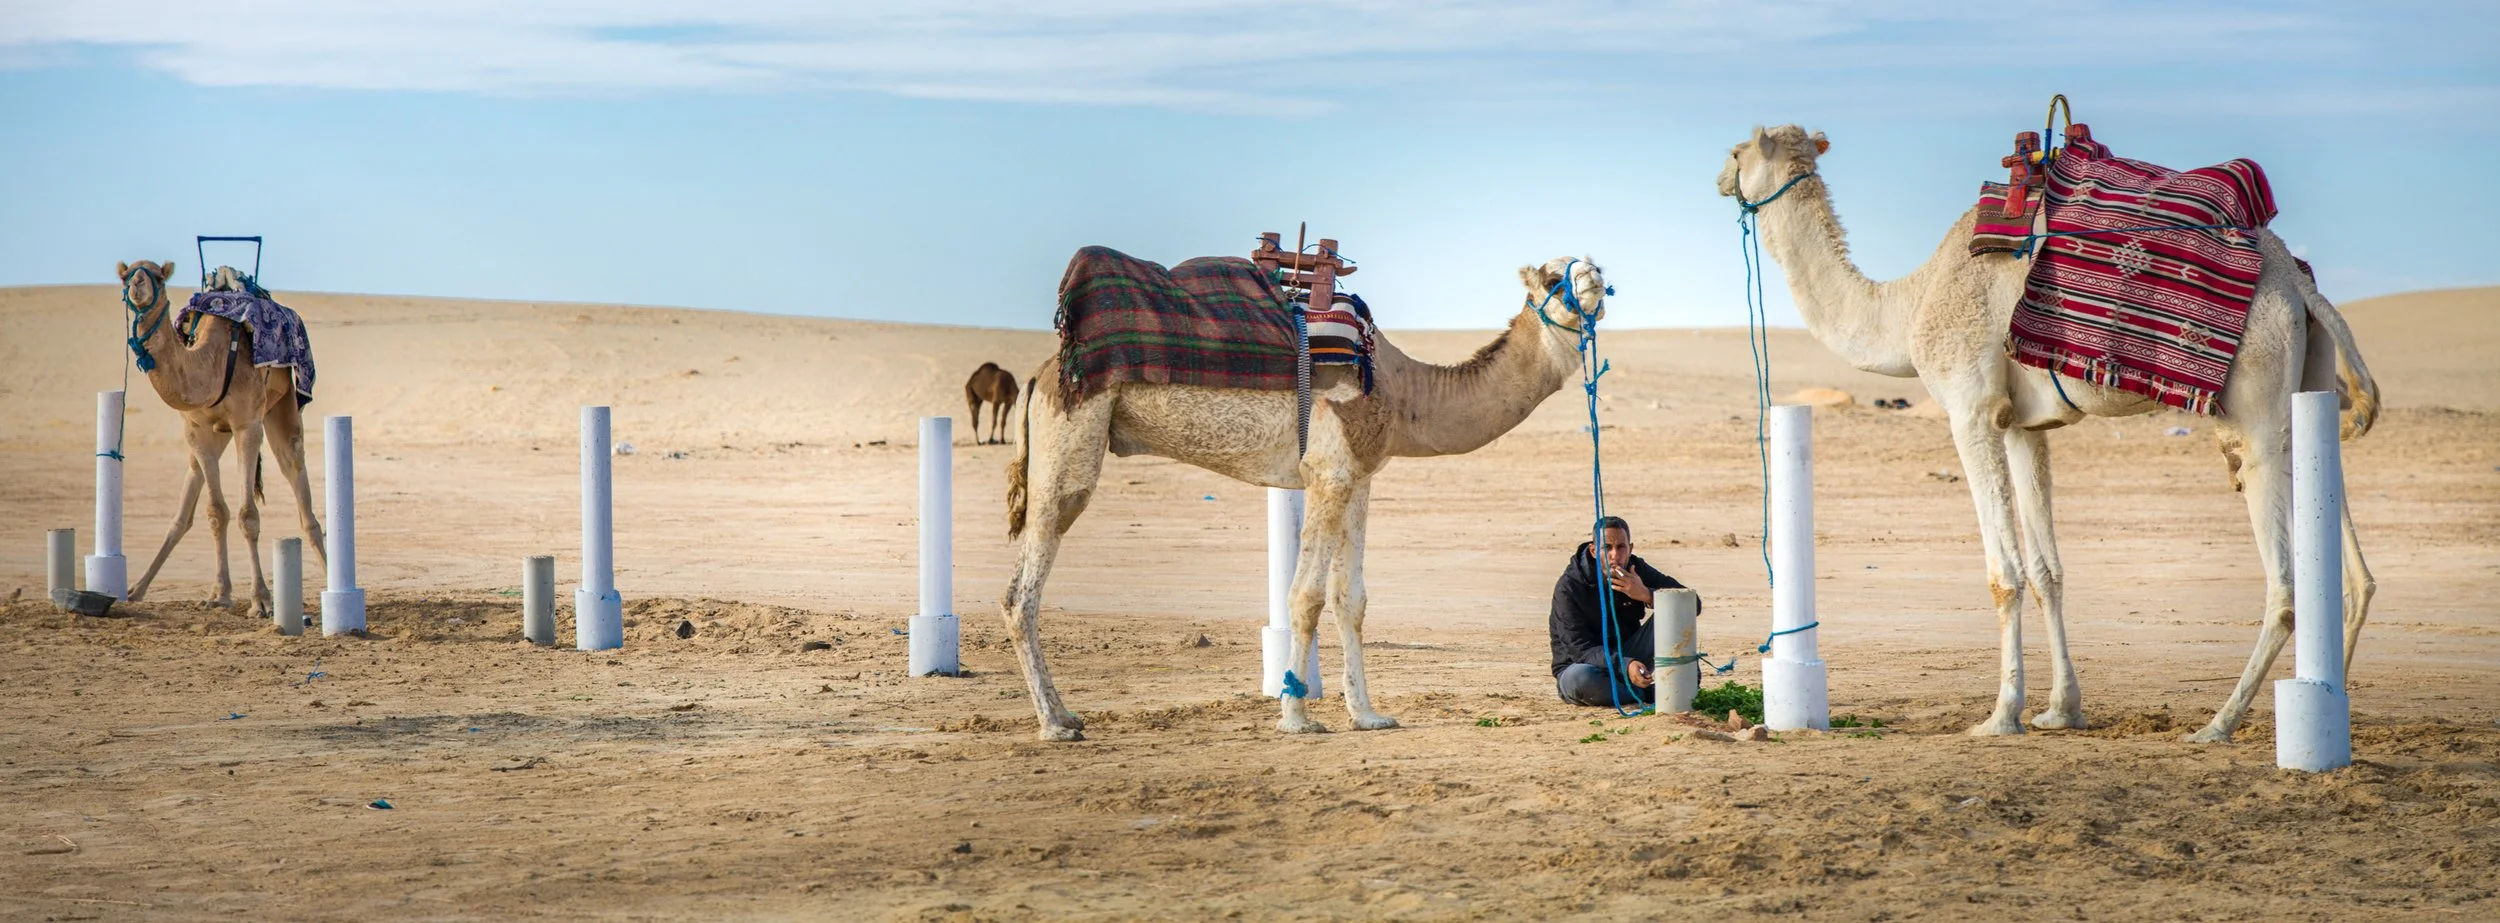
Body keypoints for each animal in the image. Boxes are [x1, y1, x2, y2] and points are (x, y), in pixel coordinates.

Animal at [112, 260, 326, 615]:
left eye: (158, 276)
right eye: (126, 274)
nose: (138, 286)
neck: (209, 361)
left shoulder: (247, 425)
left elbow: (247, 516)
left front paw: (261, 600)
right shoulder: (196, 431)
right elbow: (216, 513)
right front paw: (222, 594)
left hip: (283, 405)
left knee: (298, 480)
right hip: (215, 437)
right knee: (187, 503)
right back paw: (139, 588)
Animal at [1001, 257, 1610, 741]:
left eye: (1591, 264)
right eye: (1555, 276)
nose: (1596, 279)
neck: (1402, 389)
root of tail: (1041, 376)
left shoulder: (1360, 478)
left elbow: (1350, 599)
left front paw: (1368, 715)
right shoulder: (1327, 473)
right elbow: (1306, 596)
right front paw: (1296, 717)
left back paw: (1068, 715)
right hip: (1071, 440)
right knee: (1022, 593)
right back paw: (1054, 725)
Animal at [1716, 126, 2379, 742]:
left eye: (1736, 152)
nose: (1720, 181)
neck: (1908, 308)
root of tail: (2300, 284)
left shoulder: (1971, 410)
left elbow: (2003, 576)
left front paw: (2000, 715)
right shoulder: (2024, 427)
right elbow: (2046, 574)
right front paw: (2061, 709)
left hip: (2259, 407)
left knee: (2284, 589)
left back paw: (2220, 723)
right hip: (2305, 389)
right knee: (2353, 572)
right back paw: (2327, 697)